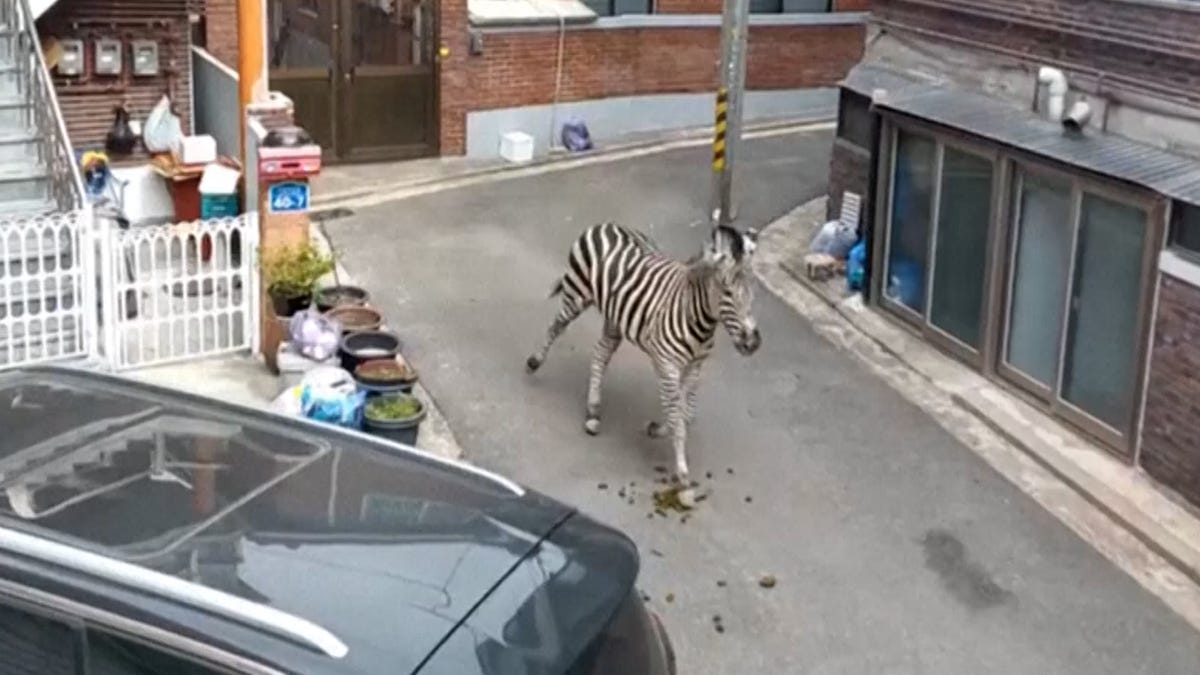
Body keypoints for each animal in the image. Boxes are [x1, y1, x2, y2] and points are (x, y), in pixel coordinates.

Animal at [525, 222, 762, 487]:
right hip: (577, 295)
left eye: (752, 293)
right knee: (555, 327)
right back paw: (535, 362)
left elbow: (686, 414)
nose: (753, 343)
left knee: (600, 354)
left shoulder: (694, 367)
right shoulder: (667, 365)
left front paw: (656, 429)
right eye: (728, 292)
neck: (696, 318)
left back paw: (593, 412)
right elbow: (676, 415)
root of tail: (606, 224)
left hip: (615, 319)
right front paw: (682, 471)